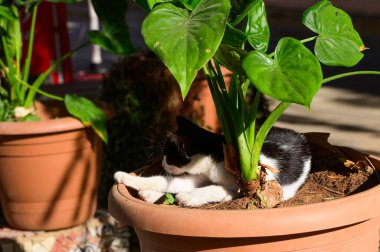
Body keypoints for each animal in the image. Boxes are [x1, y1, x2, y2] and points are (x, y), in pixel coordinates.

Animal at [114, 116, 310, 207]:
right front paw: (125, 177)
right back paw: (148, 194)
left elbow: (213, 189)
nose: (162, 164)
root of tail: (300, 135)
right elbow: (163, 181)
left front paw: (188, 197)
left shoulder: (243, 188)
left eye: (168, 157)